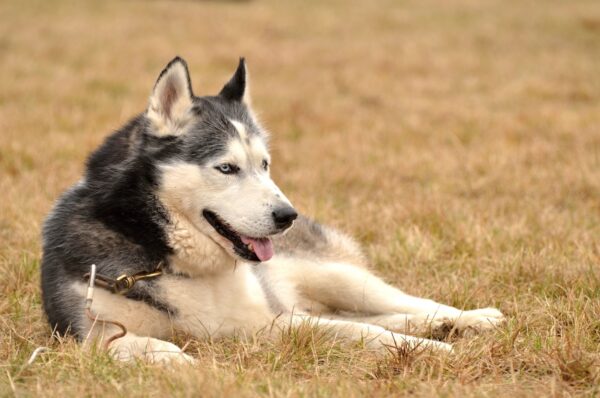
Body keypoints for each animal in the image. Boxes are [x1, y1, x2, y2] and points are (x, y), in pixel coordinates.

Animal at [39, 56, 504, 364]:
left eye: (264, 164)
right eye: (227, 167)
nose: (287, 216)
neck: (178, 264)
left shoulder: (270, 322)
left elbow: (357, 330)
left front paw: (433, 348)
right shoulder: (91, 335)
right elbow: (145, 345)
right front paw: (181, 361)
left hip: (339, 278)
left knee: (403, 305)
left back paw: (469, 320)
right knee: (384, 316)